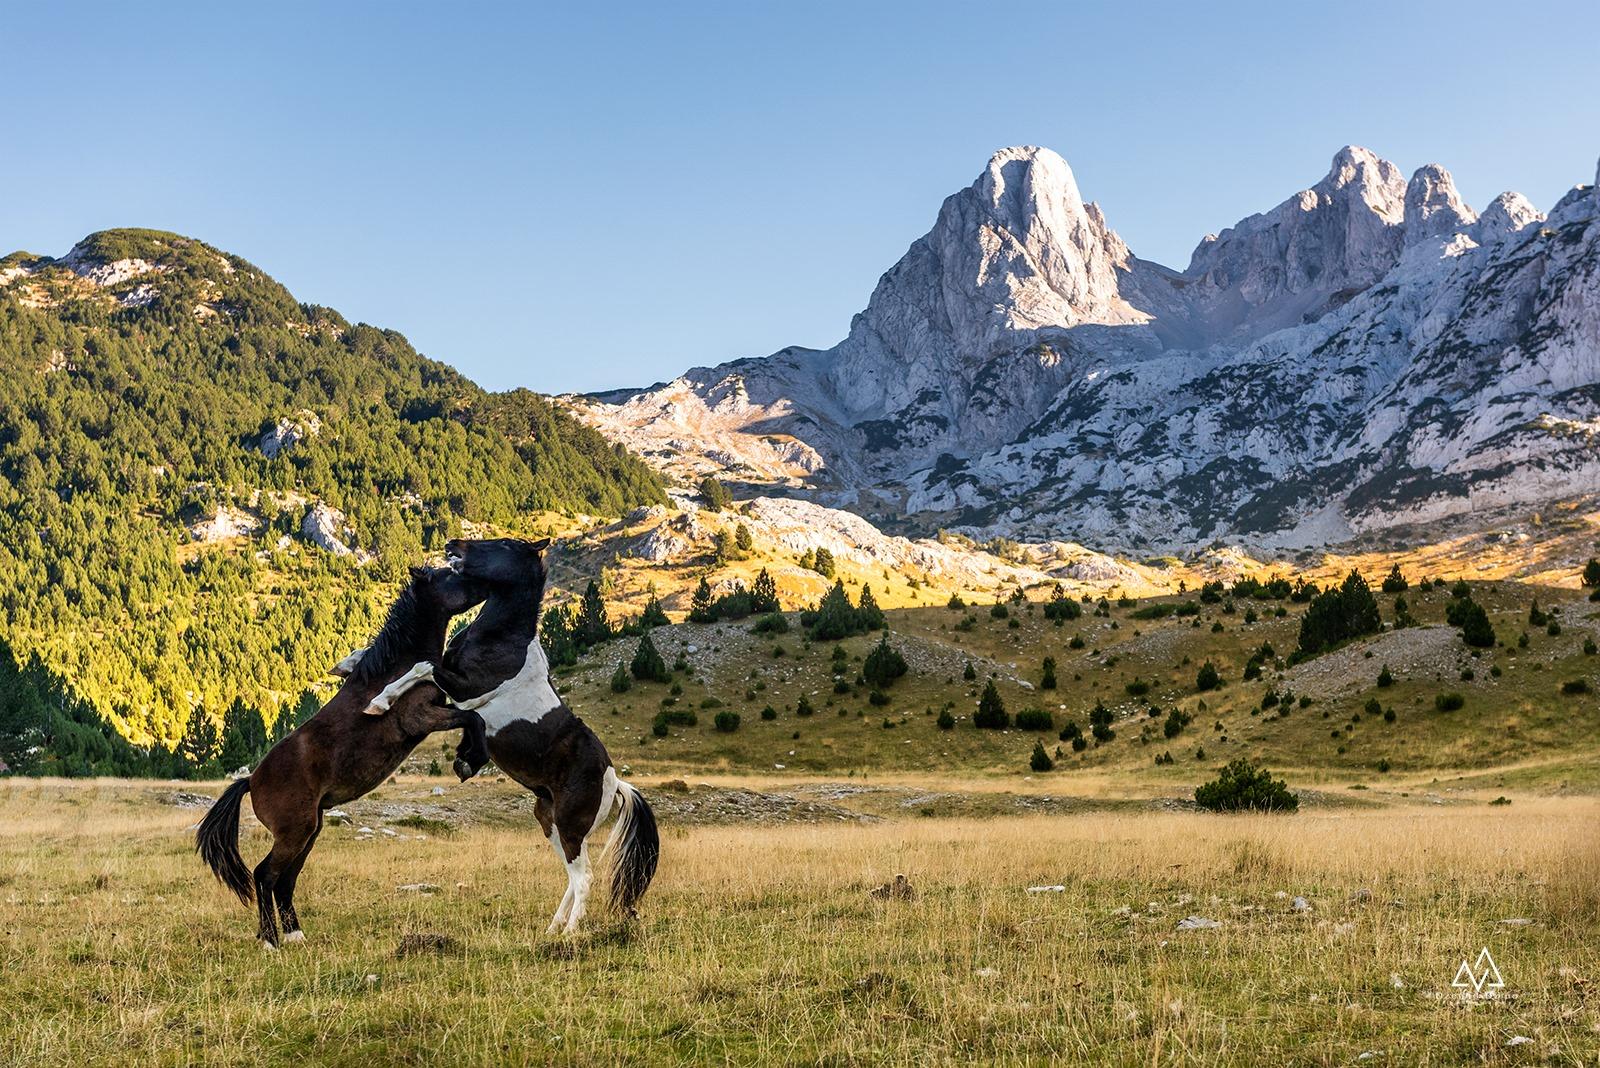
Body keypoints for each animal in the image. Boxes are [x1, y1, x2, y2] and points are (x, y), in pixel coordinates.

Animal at [192, 562, 486, 946]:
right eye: (449, 575)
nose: (485, 583)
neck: (395, 667)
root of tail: (251, 780)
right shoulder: (421, 718)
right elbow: (472, 717)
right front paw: (468, 761)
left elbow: (471, 715)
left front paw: (468, 757)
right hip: (296, 833)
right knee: (265, 875)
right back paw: (271, 939)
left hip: (309, 831)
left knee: (285, 881)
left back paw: (295, 935)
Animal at [361, 537, 656, 927]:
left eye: (502, 544)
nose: (452, 544)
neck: (501, 639)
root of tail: (615, 781)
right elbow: (433, 681)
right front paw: (464, 760)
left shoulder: (467, 690)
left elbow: (423, 666)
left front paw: (378, 702)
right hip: (550, 822)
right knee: (572, 876)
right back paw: (553, 928)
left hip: (571, 825)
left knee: (585, 877)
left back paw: (570, 932)